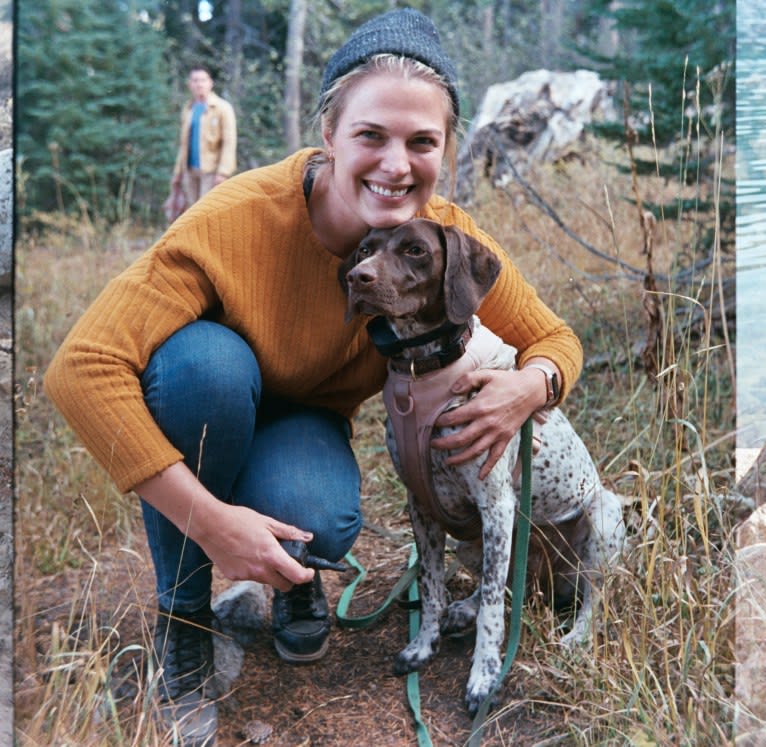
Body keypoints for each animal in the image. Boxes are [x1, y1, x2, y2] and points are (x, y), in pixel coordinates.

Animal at [340, 219, 628, 716]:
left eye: (415, 250)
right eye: (364, 249)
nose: (359, 278)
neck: (420, 372)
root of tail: (549, 580)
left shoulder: (496, 505)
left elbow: (495, 610)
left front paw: (484, 677)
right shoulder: (421, 506)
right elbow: (432, 587)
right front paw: (424, 644)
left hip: (601, 519)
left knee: (588, 597)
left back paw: (576, 637)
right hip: (473, 544)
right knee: (509, 585)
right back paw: (465, 609)